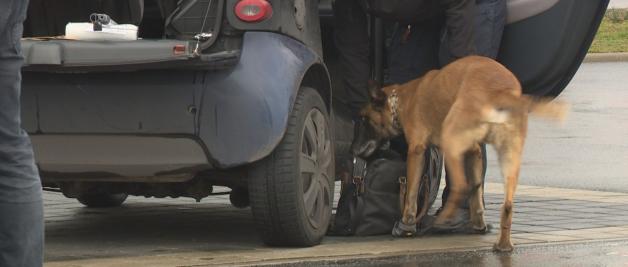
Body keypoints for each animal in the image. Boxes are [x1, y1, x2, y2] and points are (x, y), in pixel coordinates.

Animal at [354, 55, 568, 252]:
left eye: (364, 119)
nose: (353, 150)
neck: (400, 99)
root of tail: (501, 91)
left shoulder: (416, 151)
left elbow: (412, 194)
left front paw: (406, 225)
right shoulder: (474, 151)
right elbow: (477, 193)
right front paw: (479, 224)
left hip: (451, 142)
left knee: (460, 186)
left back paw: (442, 220)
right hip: (509, 157)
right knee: (505, 205)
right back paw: (503, 244)